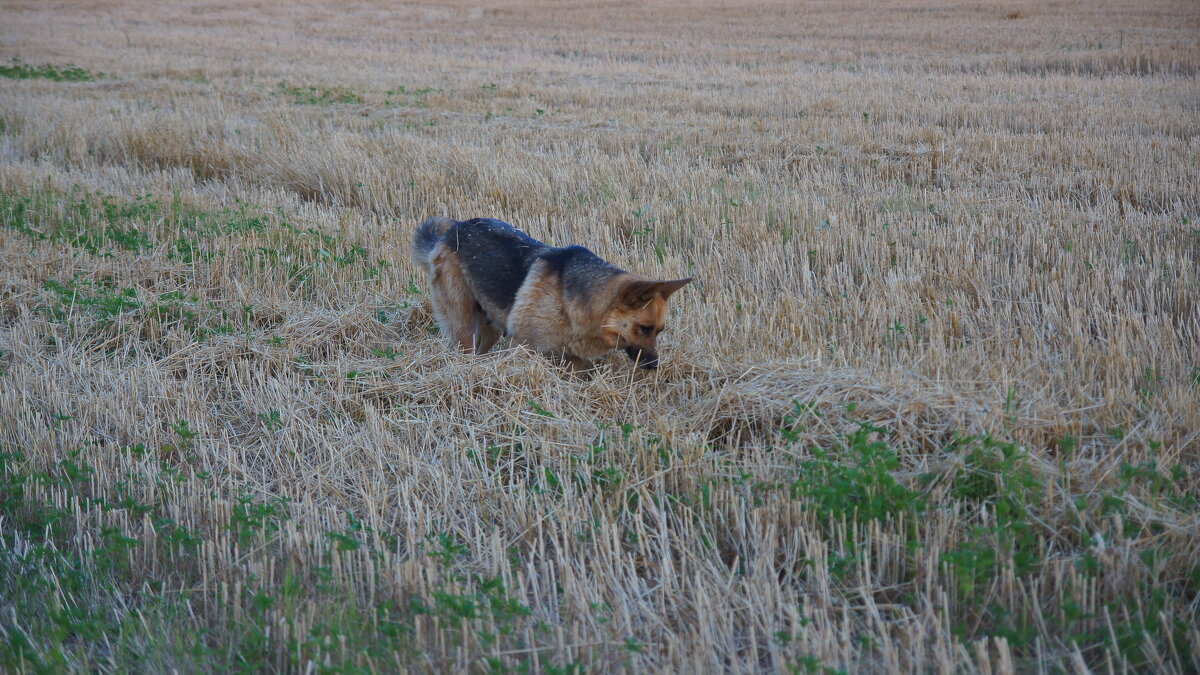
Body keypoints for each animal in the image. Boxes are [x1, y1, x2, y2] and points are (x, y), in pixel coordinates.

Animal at [415, 214, 691, 369]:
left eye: (659, 331)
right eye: (644, 328)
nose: (654, 366)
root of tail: (454, 229)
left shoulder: (574, 360)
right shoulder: (522, 346)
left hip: (490, 325)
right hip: (463, 323)